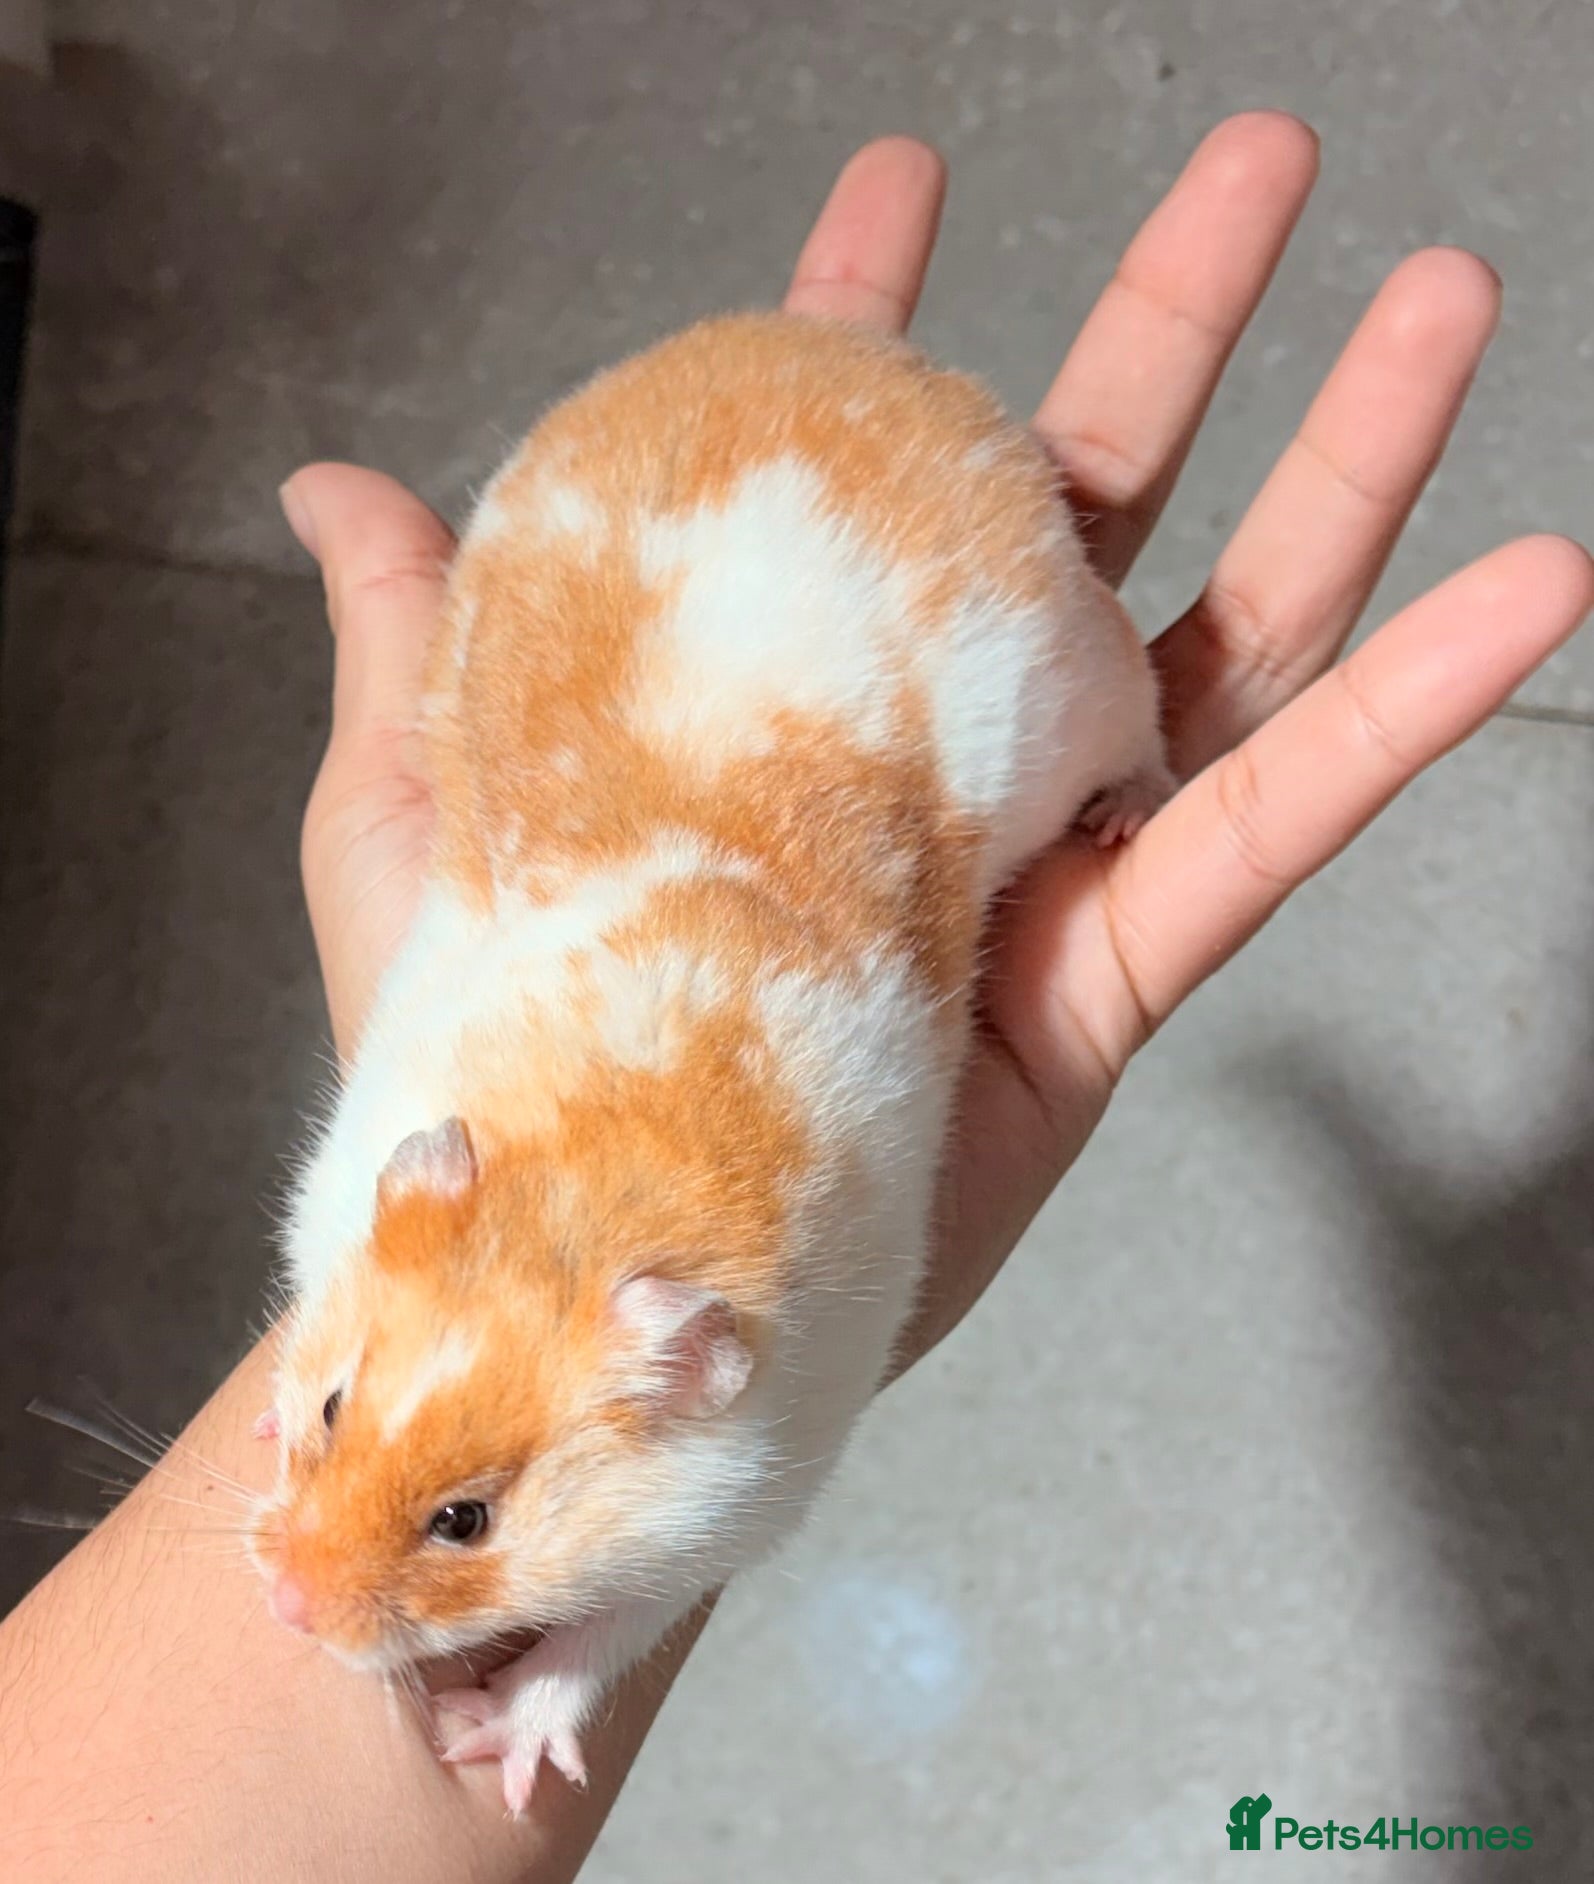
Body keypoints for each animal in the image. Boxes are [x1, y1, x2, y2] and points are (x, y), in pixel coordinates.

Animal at [249, 312, 1172, 1814]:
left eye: (467, 1520)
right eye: (333, 1406)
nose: (282, 1607)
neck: (604, 1170)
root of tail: (859, 356)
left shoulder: (743, 1495)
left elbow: (601, 1638)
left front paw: (498, 1751)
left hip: (1091, 675)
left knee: (1145, 728)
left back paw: (1128, 815)